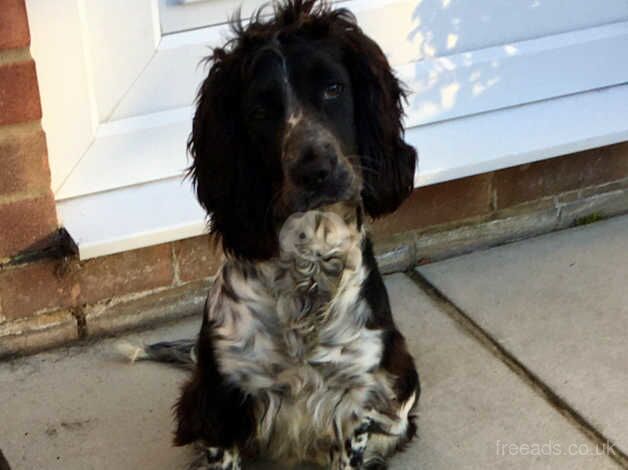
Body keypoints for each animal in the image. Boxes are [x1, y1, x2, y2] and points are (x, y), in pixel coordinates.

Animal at [128, 1, 422, 468]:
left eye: (333, 88)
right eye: (259, 112)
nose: (315, 169)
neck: (309, 263)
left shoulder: (356, 394)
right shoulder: (223, 397)